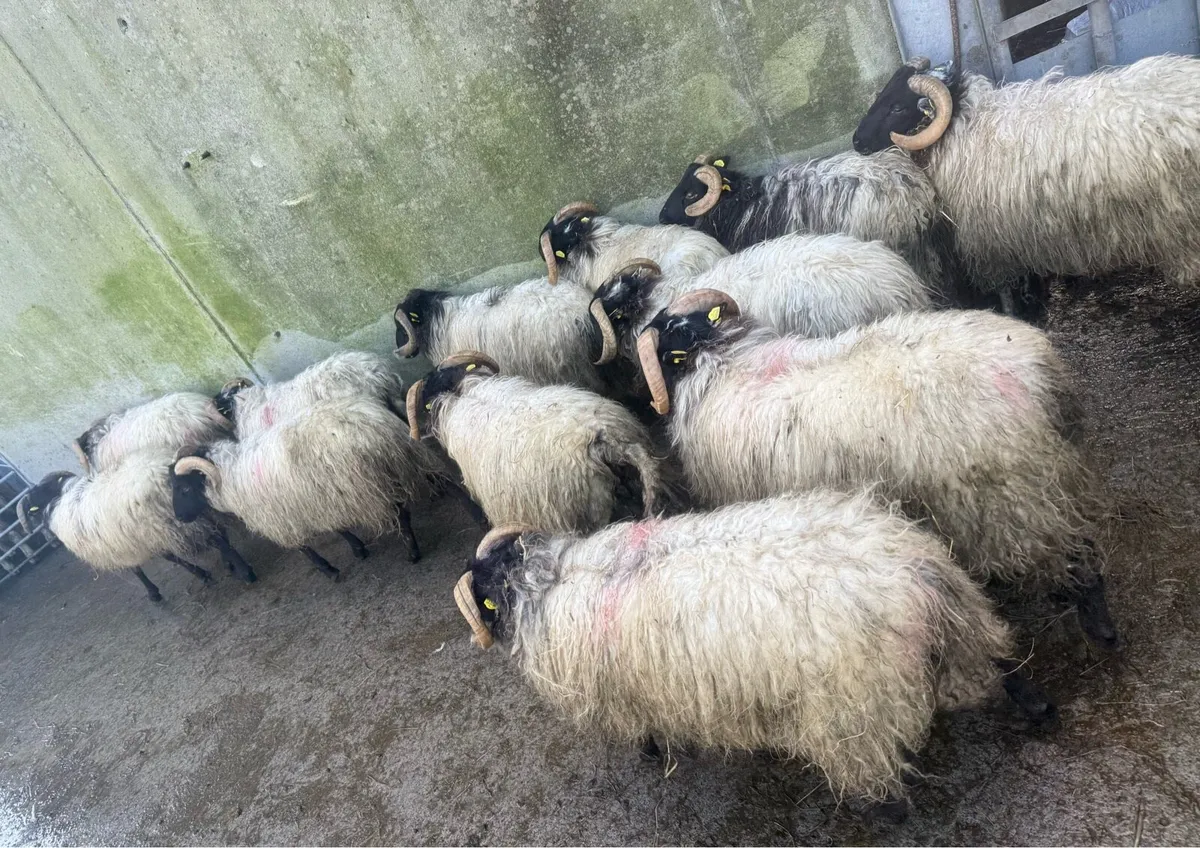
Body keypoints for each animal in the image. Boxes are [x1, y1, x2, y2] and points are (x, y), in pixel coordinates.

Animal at [17, 450, 256, 602]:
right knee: (220, 531)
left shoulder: (121, 545)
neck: (58, 498)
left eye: (36, 500)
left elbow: (138, 569)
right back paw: (230, 563)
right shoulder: (141, 536)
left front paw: (153, 592)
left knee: (215, 538)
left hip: (172, 521)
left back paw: (245, 572)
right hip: (192, 512)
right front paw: (201, 573)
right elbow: (170, 556)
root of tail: (161, 473)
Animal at [171, 396, 443, 578]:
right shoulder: (316, 498)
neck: (227, 474)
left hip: (369, 485)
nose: (179, 518)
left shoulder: (279, 518)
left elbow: (303, 549)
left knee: (401, 515)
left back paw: (412, 553)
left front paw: (329, 570)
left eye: (185, 489)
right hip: (393, 469)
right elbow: (339, 528)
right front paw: (358, 549)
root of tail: (374, 425)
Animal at [451, 492, 1055, 816]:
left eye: (484, 603)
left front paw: (651, 752)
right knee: (1004, 667)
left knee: (880, 780)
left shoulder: (622, 692)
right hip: (965, 625)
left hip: (855, 709)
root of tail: (917, 574)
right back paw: (1040, 709)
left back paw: (881, 811)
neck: (541, 583)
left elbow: (644, 731)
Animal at [635, 289, 1117, 648]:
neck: (720, 362)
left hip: (1016, 498)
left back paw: (1100, 628)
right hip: (1053, 476)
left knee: (1076, 555)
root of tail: (1041, 377)